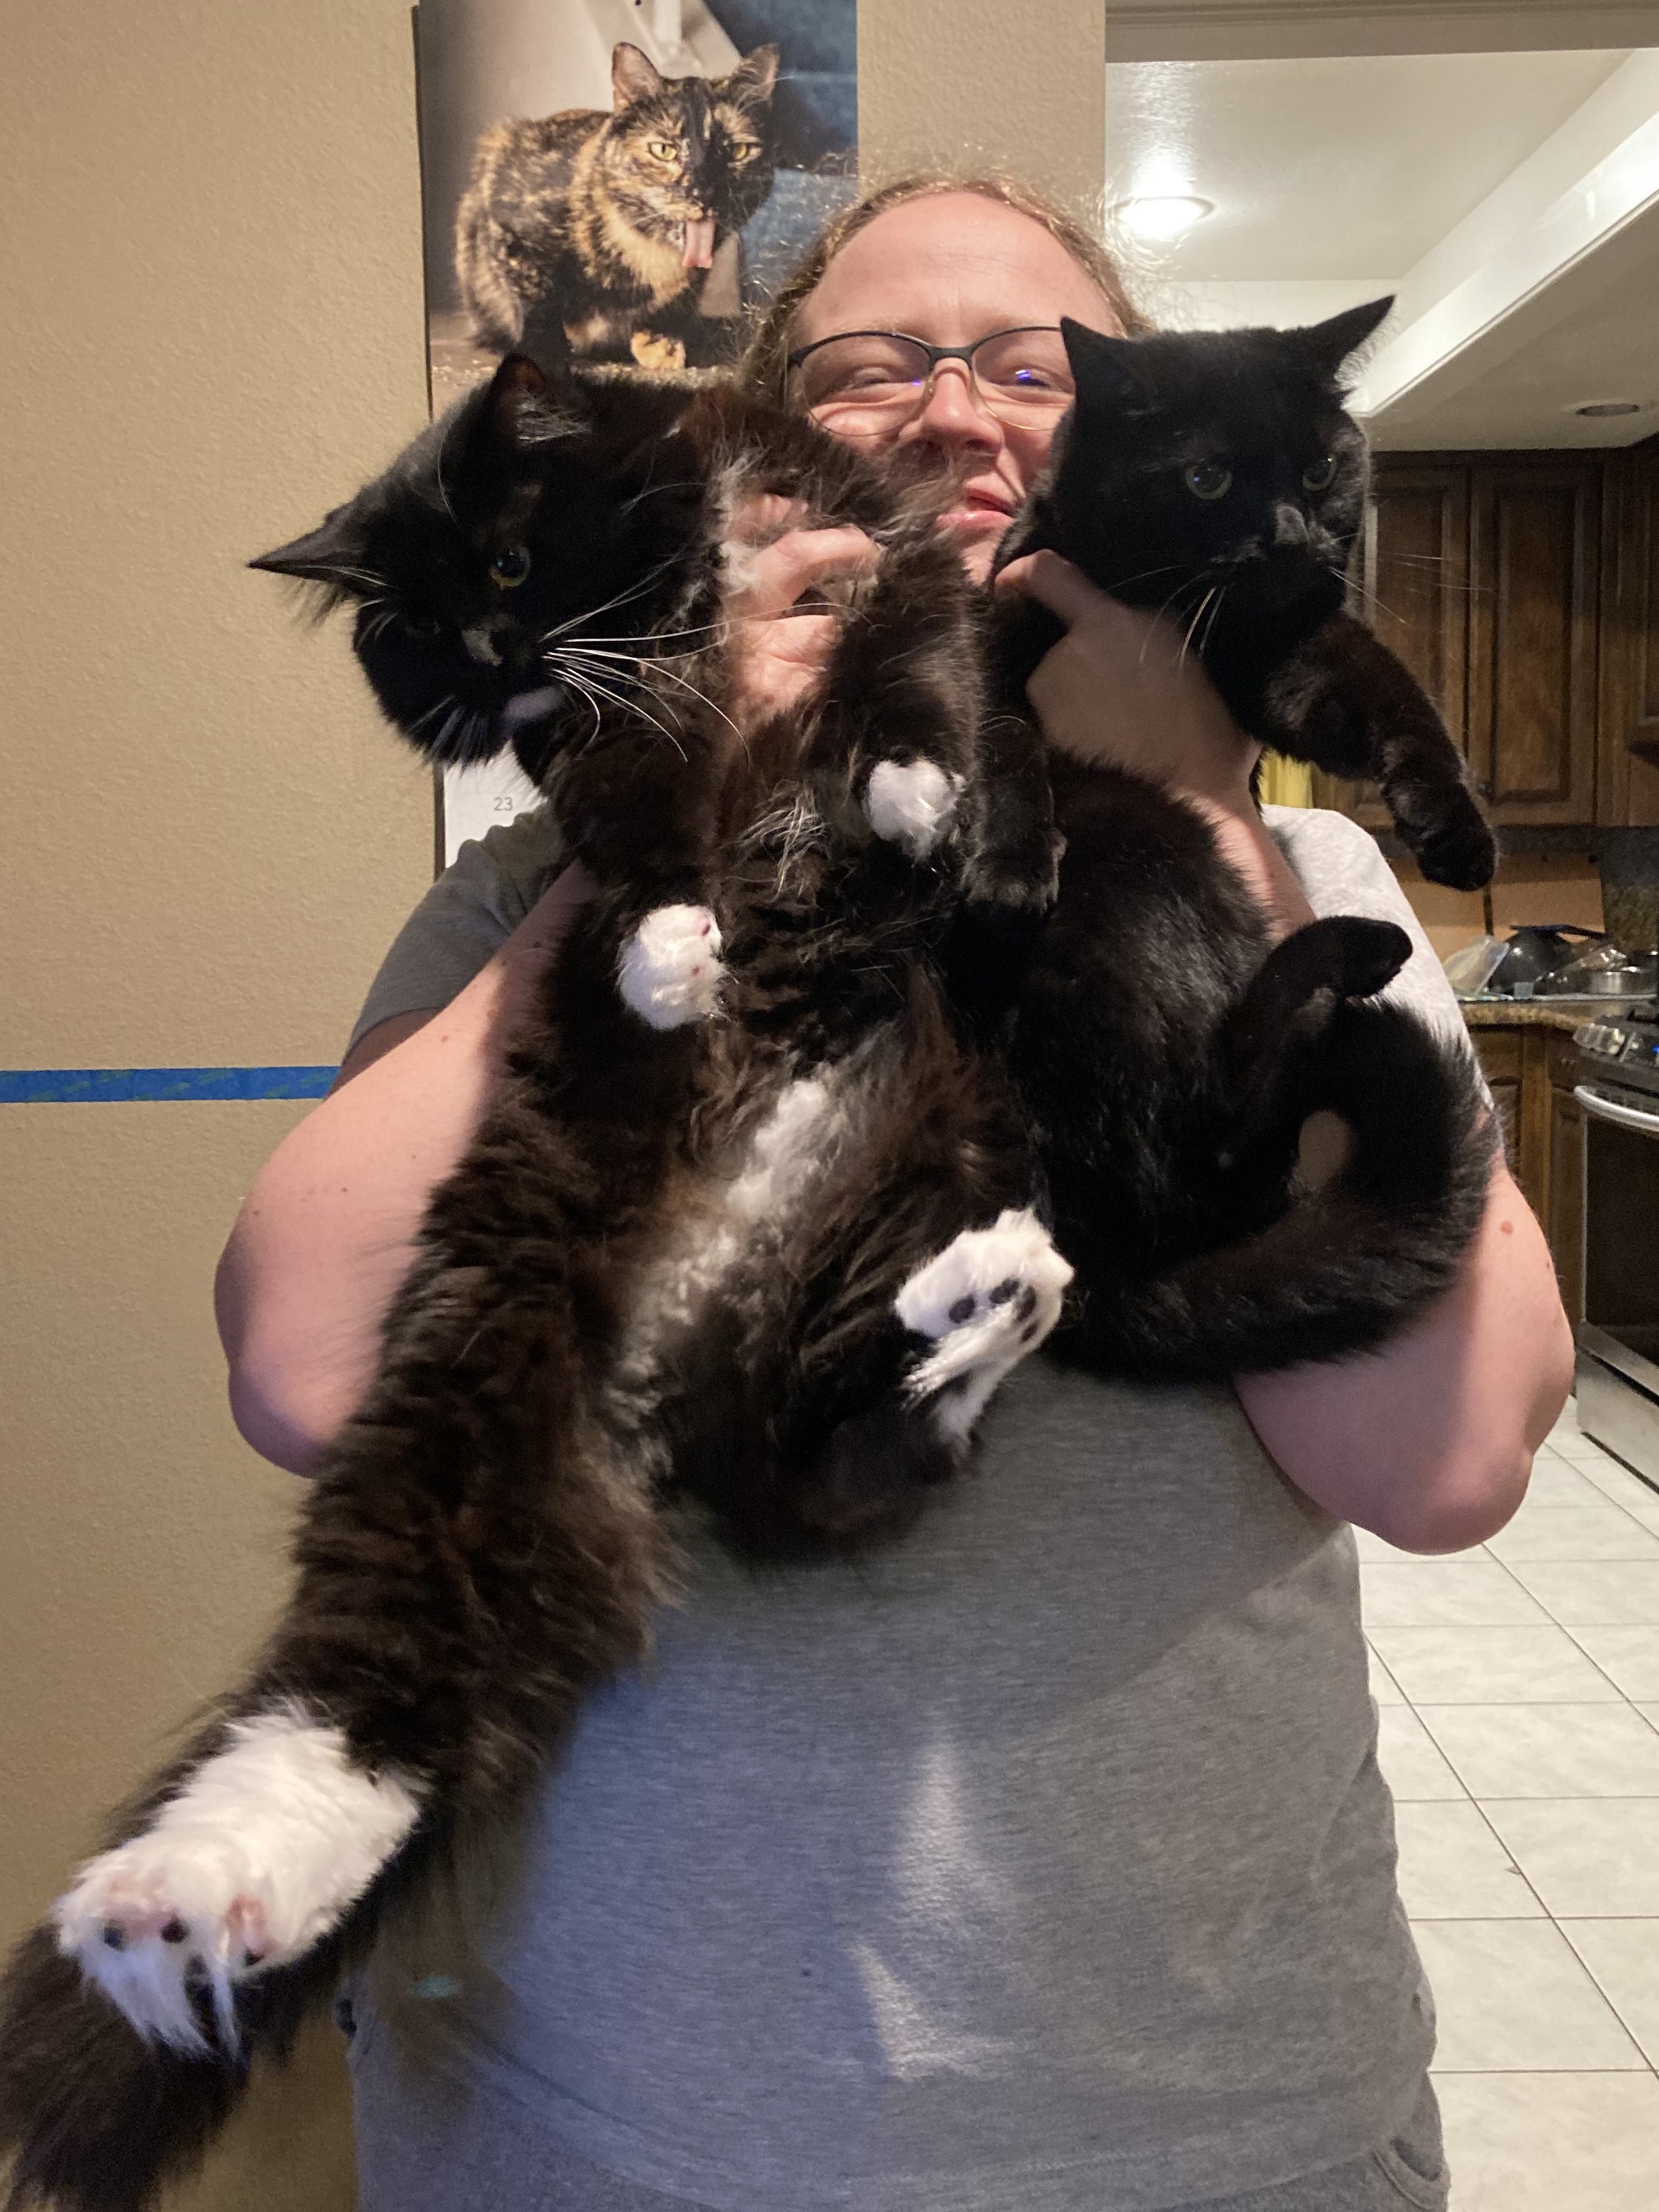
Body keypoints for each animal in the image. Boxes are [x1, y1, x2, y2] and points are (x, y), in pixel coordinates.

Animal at [456, 40, 778, 373]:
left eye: (738, 151)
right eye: (664, 150)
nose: (704, 193)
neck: (648, 252)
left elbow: (670, 309)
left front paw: (660, 342)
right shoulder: (511, 224)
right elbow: (535, 297)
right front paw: (544, 351)